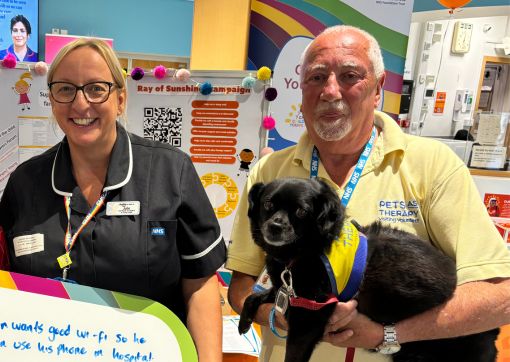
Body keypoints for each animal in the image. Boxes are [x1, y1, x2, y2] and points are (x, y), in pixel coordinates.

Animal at [239, 177, 498, 362]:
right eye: (268, 204)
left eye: (301, 211)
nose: (274, 226)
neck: (303, 252)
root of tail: (492, 332)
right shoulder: (287, 291)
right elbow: (254, 296)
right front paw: (244, 321)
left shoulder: (309, 318)